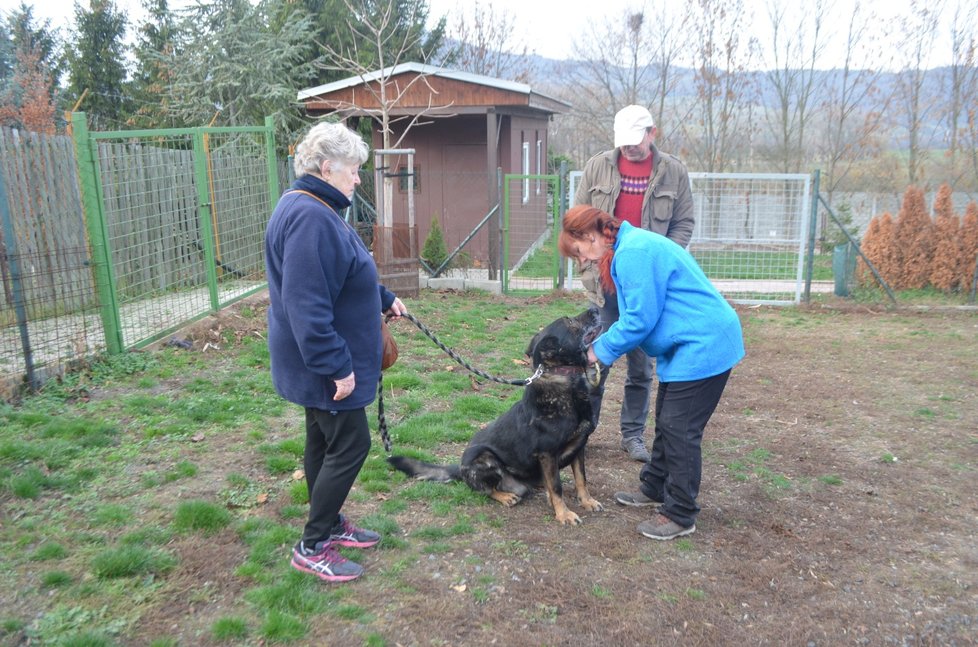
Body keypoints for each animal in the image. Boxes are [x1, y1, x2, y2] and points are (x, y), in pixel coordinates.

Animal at [386, 310, 604, 528]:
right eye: (570, 321)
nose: (596, 309)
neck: (565, 382)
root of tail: (460, 469)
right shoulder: (547, 454)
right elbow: (557, 487)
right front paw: (564, 514)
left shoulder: (579, 447)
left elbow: (581, 479)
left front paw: (587, 501)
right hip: (484, 458)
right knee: (485, 490)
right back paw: (506, 496)